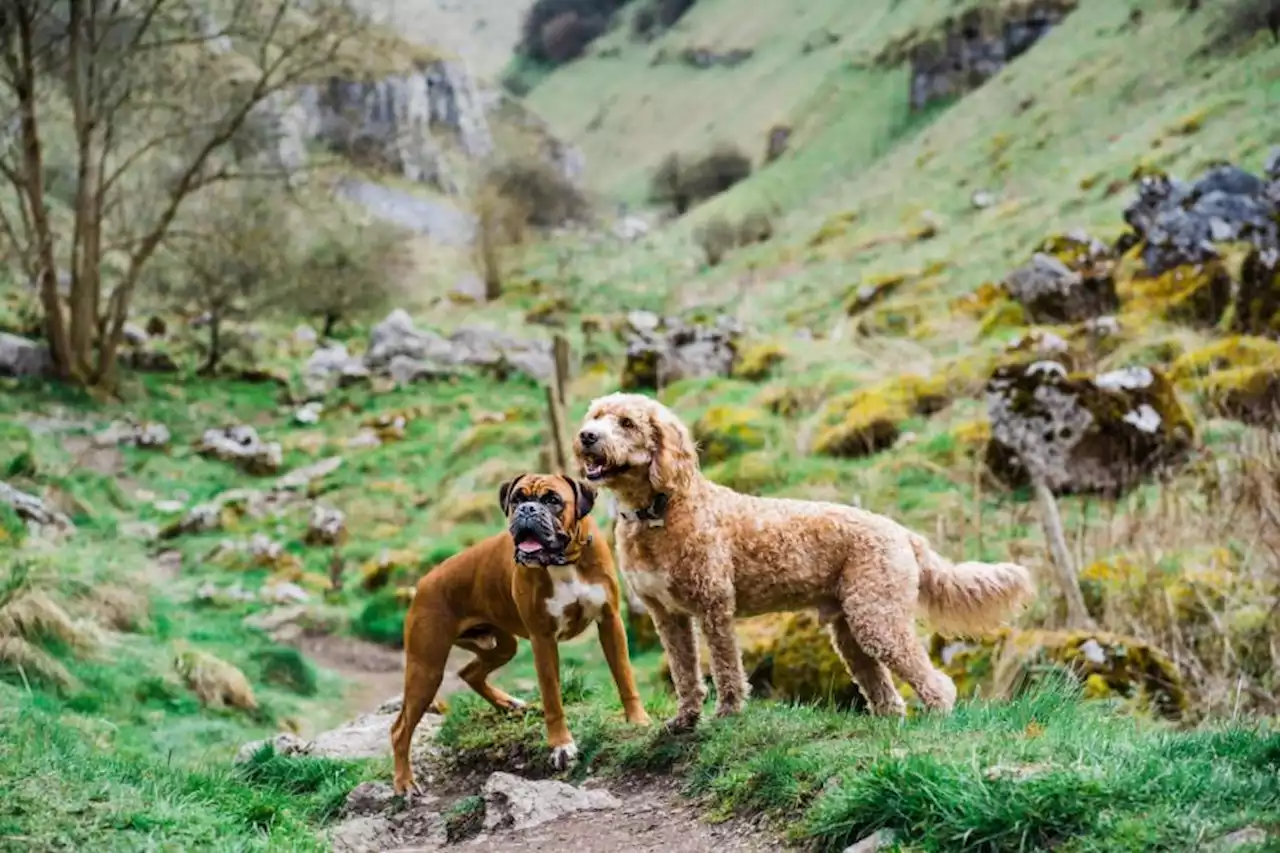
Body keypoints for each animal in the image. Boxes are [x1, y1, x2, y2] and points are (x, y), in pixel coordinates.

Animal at [389, 471, 650, 788]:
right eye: (516, 499)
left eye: (553, 500)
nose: (527, 509)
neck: (564, 561)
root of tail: (424, 583)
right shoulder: (543, 639)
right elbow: (552, 698)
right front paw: (561, 746)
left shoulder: (610, 621)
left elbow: (624, 677)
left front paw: (637, 720)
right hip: (426, 668)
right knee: (400, 729)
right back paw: (404, 783)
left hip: (501, 647)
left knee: (469, 672)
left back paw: (509, 704)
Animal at [576, 389, 1034, 727]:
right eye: (596, 415)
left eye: (627, 422)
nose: (586, 437)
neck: (659, 511)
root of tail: (901, 532)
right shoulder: (668, 616)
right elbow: (685, 672)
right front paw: (686, 719)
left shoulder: (714, 606)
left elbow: (725, 668)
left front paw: (728, 715)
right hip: (851, 630)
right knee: (884, 690)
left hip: (878, 619)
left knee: (931, 677)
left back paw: (939, 714)